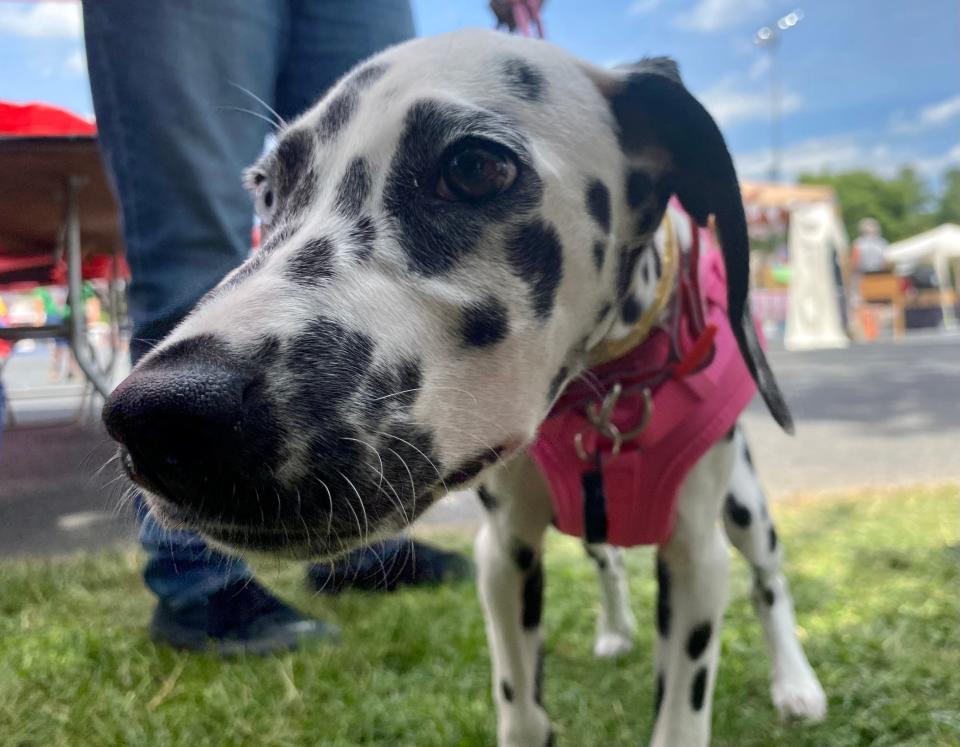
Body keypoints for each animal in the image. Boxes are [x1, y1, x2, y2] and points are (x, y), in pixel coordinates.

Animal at [103, 27, 824, 744]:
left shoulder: (696, 560)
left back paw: (795, 681)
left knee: (769, 580)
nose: (156, 416)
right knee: (608, 559)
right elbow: (523, 710)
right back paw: (617, 629)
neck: (605, 390)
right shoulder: (505, 554)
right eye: (267, 192)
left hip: (744, 509)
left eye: (475, 167)